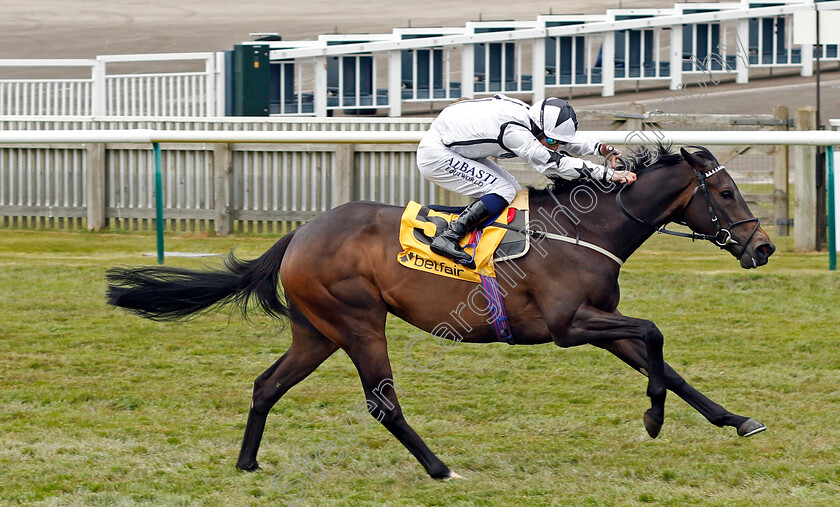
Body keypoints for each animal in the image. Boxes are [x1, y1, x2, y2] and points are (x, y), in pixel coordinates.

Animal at [108, 144, 776, 480]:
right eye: (725, 192)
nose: (763, 247)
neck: (584, 230)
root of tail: (298, 235)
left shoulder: (599, 324)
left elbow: (666, 363)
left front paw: (735, 419)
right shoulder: (569, 327)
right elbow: (655, 335)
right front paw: (654, 420)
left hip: (316, 332)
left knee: (266, 385)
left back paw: (247, 463)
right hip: (357, 323)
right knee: (382, 403)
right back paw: (440, 468)